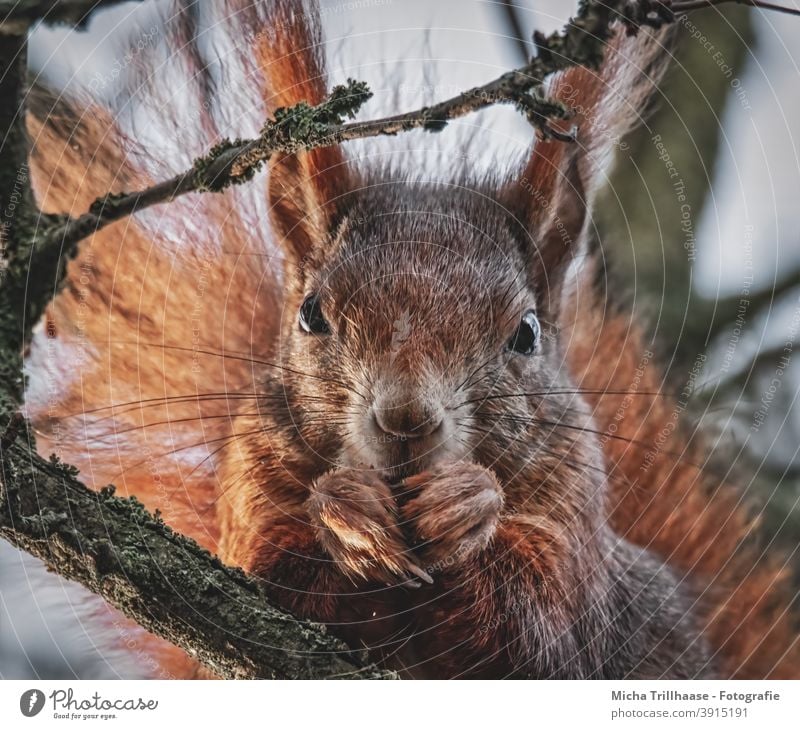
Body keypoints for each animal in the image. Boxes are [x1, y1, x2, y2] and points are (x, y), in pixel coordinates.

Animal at [23, 0, 800, 680]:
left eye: (525, 334)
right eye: (311, 314)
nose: (404, 421)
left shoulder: (575, 521)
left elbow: (543, 622)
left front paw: (466, 505)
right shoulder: (247, 488)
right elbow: (267, 566)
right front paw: (347, 512)